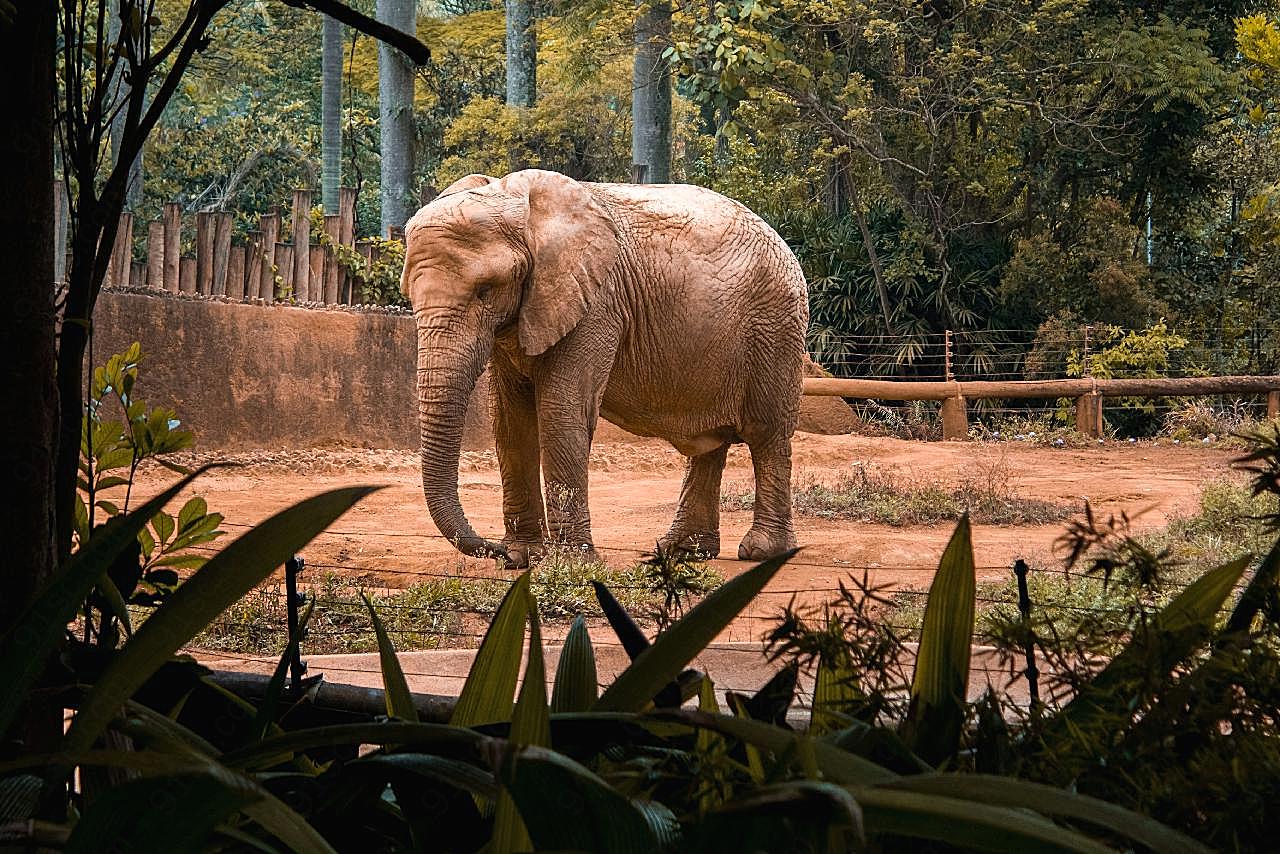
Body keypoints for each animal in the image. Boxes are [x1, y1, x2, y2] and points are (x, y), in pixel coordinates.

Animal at [399, 166, 803, 568]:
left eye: (485, 290)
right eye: (409, 295)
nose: (491, 549)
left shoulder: (596, 303)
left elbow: (561, 411)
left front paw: (571, 564)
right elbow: (511, 420)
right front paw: (521, 556)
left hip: (775, 328)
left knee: (767, 434)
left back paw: (762, 551)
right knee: (709, 443)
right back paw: (681, 552)